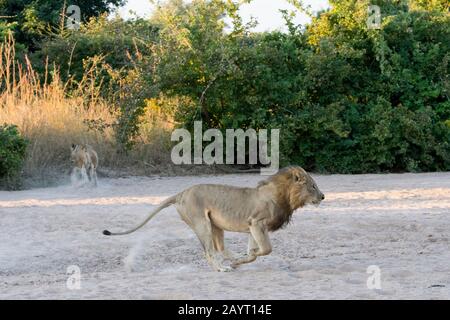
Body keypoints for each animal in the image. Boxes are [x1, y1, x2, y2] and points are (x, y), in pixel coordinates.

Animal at [103, 166, 326, 272]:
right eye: (313, 186)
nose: (323, 196)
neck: (284, 196)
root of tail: (181, 193)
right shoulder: (257, 223)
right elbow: (265, 250)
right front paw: (241, 260)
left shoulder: (252, 227)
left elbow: (253, 253)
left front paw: (240, 260)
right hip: (202, 224)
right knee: (209, 252)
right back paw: (222, 268)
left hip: (216, 225)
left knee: (220, 249)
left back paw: (231, 261)